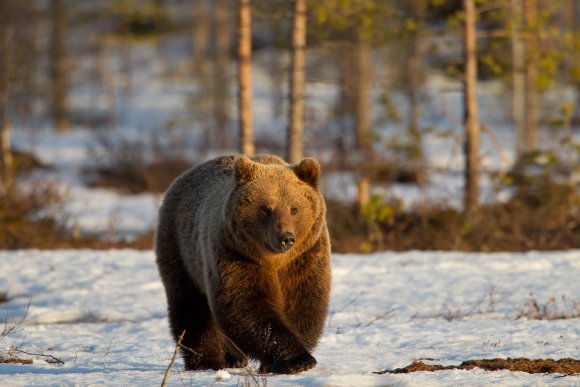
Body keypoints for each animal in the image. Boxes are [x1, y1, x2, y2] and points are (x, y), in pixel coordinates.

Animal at [154, 155, 330, 376]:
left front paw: (289, 359)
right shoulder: (236, 254)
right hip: (182, 250)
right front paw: (296, 360)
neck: (275, 260)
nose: (286, 238)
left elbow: (302, 303)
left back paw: (233, 358)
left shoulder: (305, 257)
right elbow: (246, 304)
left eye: (294, 208)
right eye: (266, 209)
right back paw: (207, 361)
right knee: (191, 306)